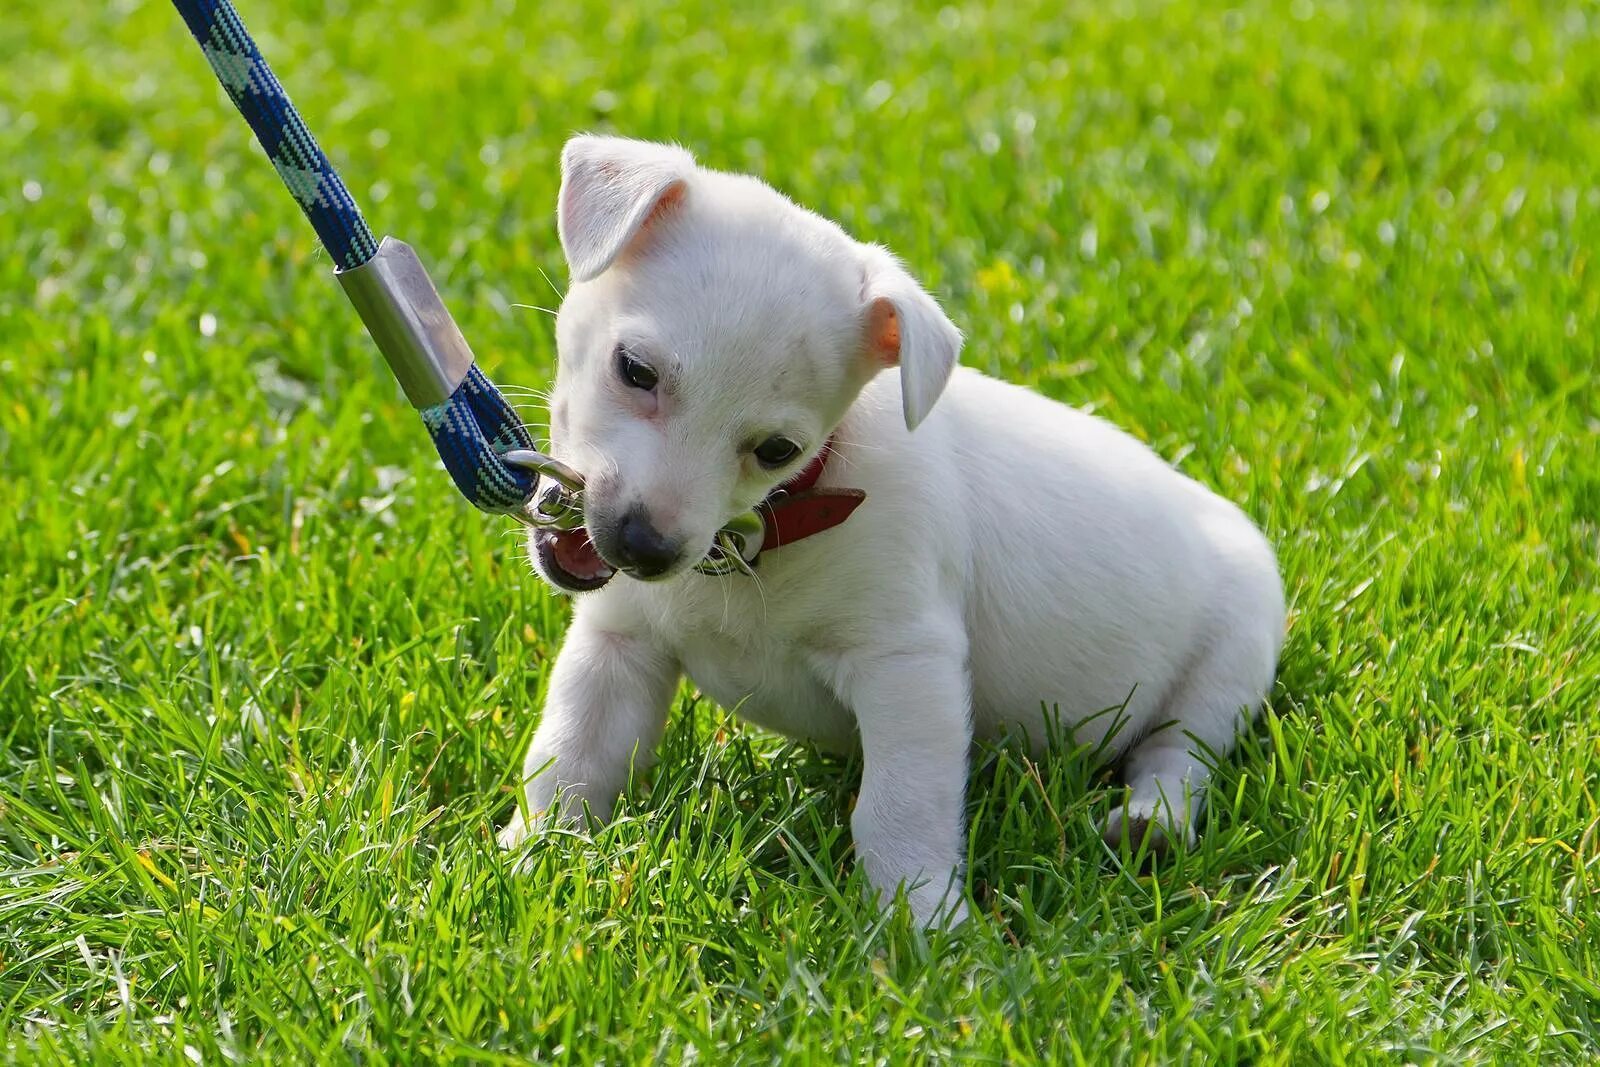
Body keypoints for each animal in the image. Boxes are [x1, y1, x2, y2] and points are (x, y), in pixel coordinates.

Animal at [499, 135, 1286, 927]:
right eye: (634, 369)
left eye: (777, 450)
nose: (641, 547)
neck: (766, 532)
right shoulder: (618, 646)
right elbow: (571, 756)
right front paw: (529, 856)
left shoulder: (906, 665)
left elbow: (899, 804)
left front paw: (922, 918)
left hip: (1231, 659)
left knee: (1179, 753)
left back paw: (1150, 822)